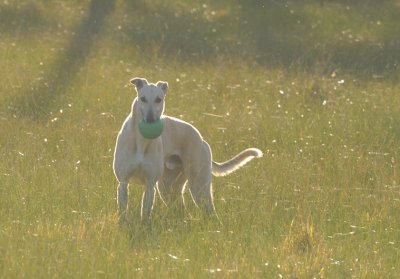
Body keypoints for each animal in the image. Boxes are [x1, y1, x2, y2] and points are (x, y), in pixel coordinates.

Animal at [112, 78, 262, 228]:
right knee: (182, 210)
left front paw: (144, 227)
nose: (150, 120)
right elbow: (123, 210)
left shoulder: (150, 185)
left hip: (198, 186)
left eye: (158, 99)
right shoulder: (123, 182)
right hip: (168, 187)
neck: (141, 141)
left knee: (210, 212)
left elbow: (145, 212)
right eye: (143, 98)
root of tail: (202, 140)